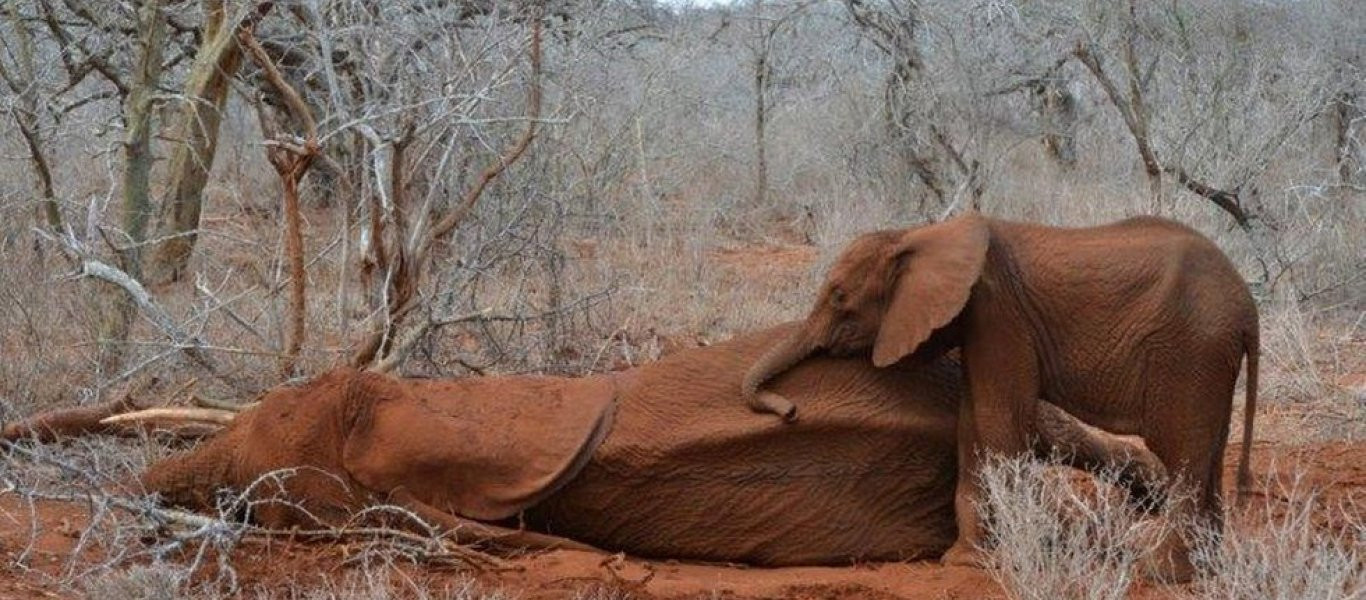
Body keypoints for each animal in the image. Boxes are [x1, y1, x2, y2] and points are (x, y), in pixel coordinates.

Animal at [748, 213, 1256, 582]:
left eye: (838, 297)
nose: (790, 410)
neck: (919, 232)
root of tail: (1247, 305)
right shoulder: (979, 324)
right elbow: (972, 423)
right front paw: (965, 562)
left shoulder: (998, 316)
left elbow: (997, 420)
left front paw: (992, 561)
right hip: (1209, 358)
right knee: (1208, 451)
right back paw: (1206, 569)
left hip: (1190, 350)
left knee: (1183, 452)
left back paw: (1160, 574)